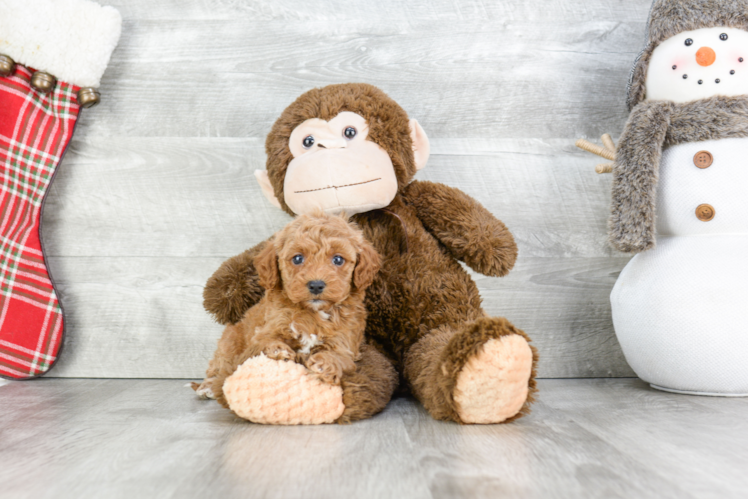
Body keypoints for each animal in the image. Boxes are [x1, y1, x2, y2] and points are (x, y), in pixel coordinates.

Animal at [194, 212, 380, 406]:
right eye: (298, 258)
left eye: (338, 259)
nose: (316, 285)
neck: (312, 313)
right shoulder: (262, 333)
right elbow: (263, 342)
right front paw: (277, 349)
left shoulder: (345, 344)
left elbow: (340, 357)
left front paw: (325, 364)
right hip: (229, 344)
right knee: (219, 365)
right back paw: (207, 386)